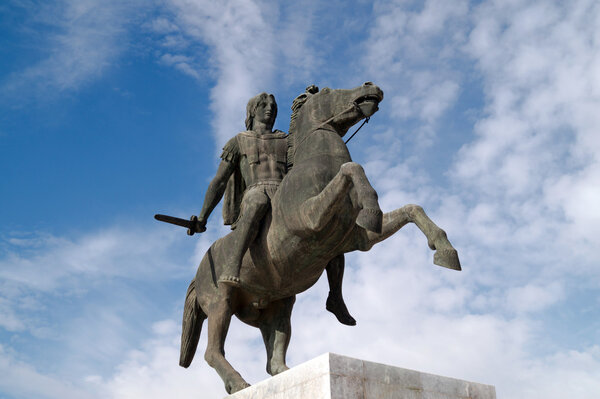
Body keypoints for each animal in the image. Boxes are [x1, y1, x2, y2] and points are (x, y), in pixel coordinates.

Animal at [178, 83, 460, 396]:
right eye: (326, 90)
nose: (371, 87)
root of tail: (199, 272)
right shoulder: (310, 219)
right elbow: (352, 169)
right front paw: (372, 208)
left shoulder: (358, 239)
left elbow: (412, 209)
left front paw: (445, 251)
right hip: (221, 303)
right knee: (213, 351)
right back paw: (238, 382)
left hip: (278, 306)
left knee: (273, 359)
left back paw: (289, 370)